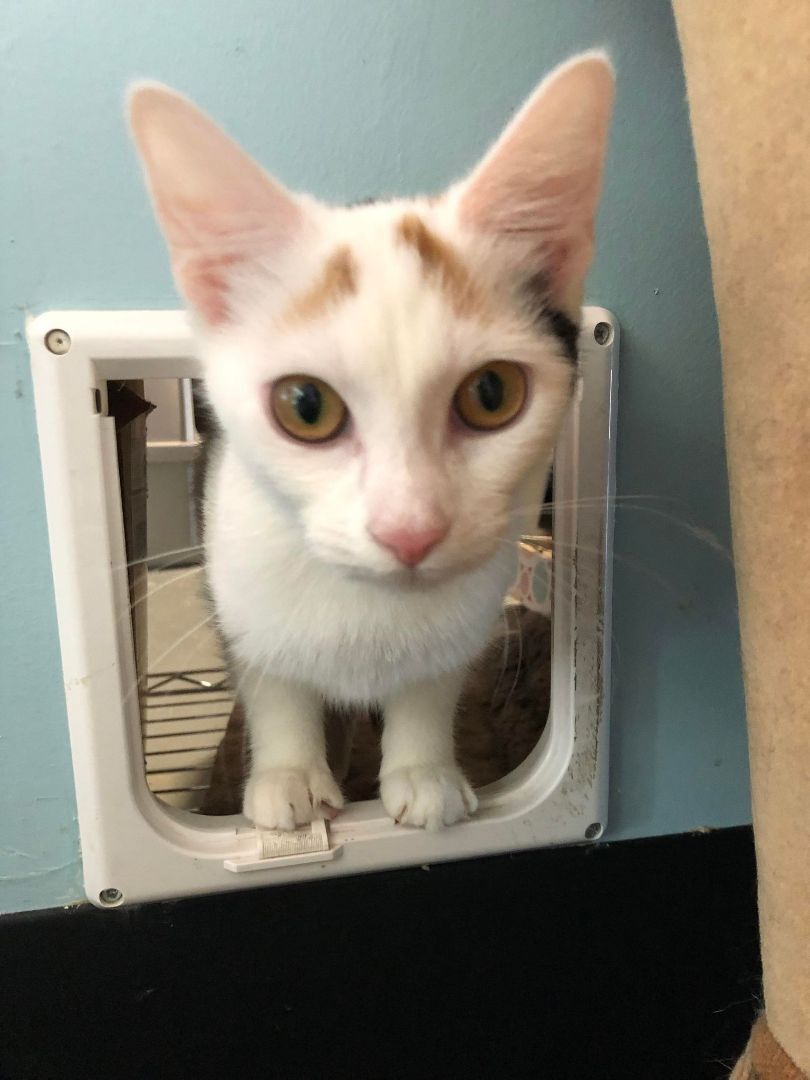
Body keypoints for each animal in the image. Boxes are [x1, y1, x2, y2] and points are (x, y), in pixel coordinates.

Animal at [128, 51, 613, 831]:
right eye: (305, 406)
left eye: (492, 394)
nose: (409, 529)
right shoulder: (232, 575)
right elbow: (271, 679)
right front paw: (290, 775)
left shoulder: (470, 613)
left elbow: (431, 681)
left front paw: (423, 771)